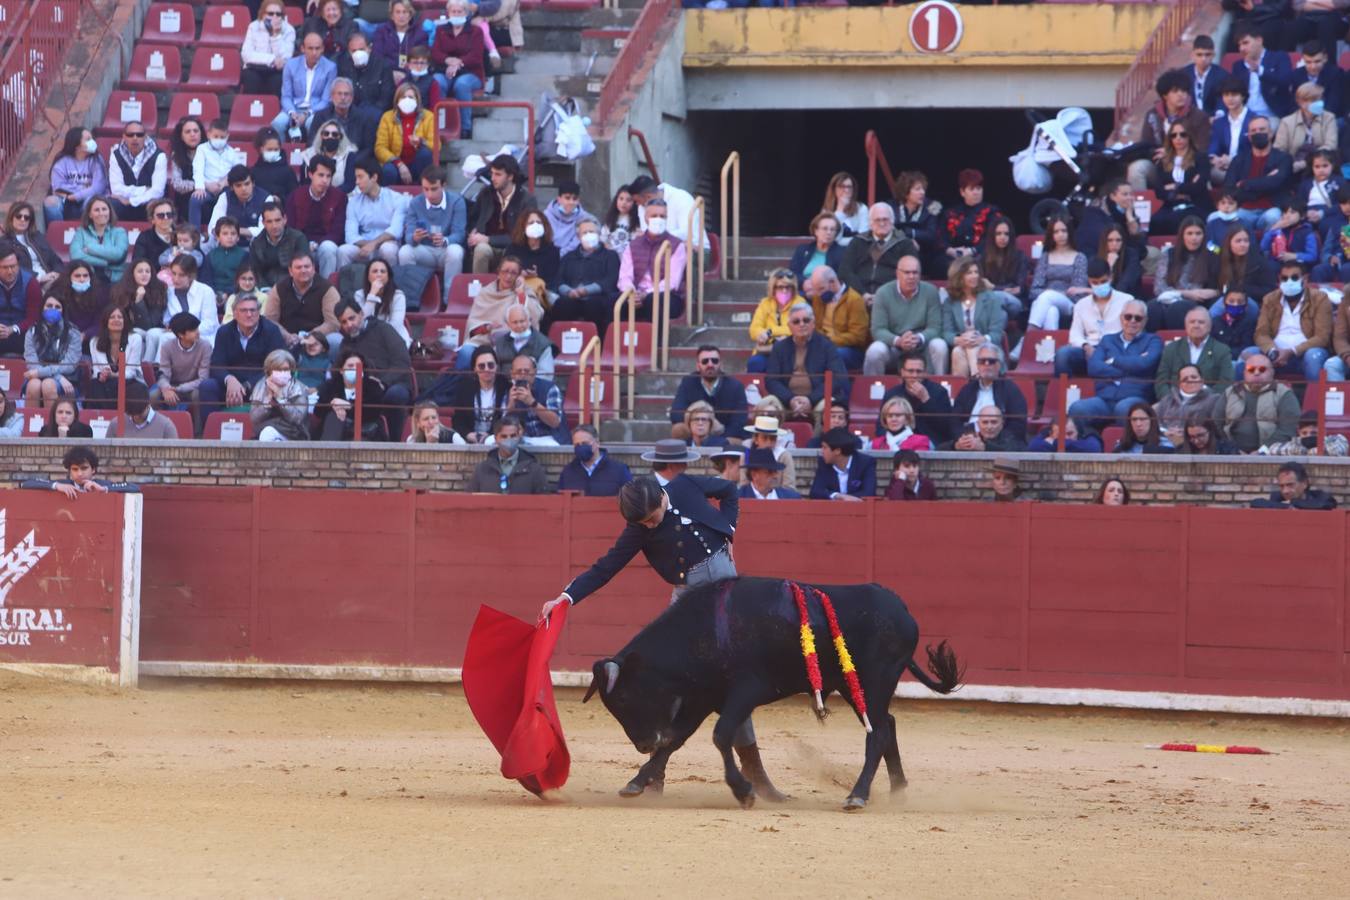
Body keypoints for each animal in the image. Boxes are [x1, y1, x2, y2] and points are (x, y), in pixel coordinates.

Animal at [583, 580, 961, 814]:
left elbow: (720, 735)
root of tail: (903, 609)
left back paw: (857, 795)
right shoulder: (702, 697)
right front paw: (635, 782)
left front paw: (743, 792)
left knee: (878, 732)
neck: (707, 629)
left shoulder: (744, 692)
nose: (643, 743)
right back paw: (897, 791)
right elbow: (675, 740)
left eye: (623, 698)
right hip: (855, 688)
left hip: (872, 683)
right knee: (887, 725)